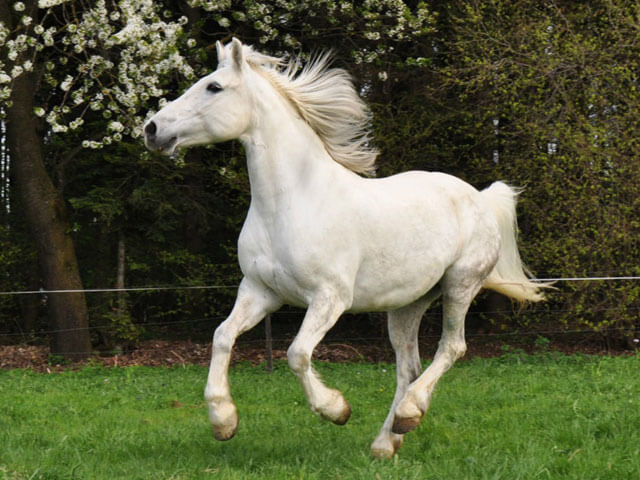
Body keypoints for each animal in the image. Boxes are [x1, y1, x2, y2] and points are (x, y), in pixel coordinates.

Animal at [144, 38, 548, 458]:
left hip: (460, 285)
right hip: (407, 304)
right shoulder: (260, 290)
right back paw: (387, 441)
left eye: (214, 87)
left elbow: (296, 353)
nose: (152, 129)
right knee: (408, 366)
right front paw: (223, 421)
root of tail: (480, 198)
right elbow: (222, 336)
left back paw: (410, 412)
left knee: (452, 348)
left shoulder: (329, 298)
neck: (291, 202)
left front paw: (336, 410)